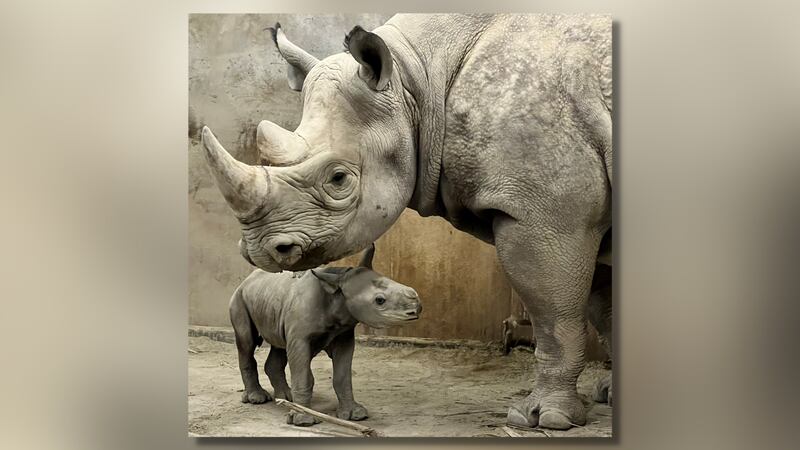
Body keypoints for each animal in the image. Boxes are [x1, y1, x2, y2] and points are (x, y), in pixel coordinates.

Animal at [230, 244, 422, 426]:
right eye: (379, 301)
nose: (417, 308)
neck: (337, 292)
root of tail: (246, 280)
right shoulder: (300, 339)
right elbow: (304, 376)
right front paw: (303, 420)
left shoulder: (344, 335)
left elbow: (342, 376)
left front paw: (355, 415)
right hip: (239, 297)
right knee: (247, 343)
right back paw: (258, 399)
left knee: (279, 346)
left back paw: (286, 399)